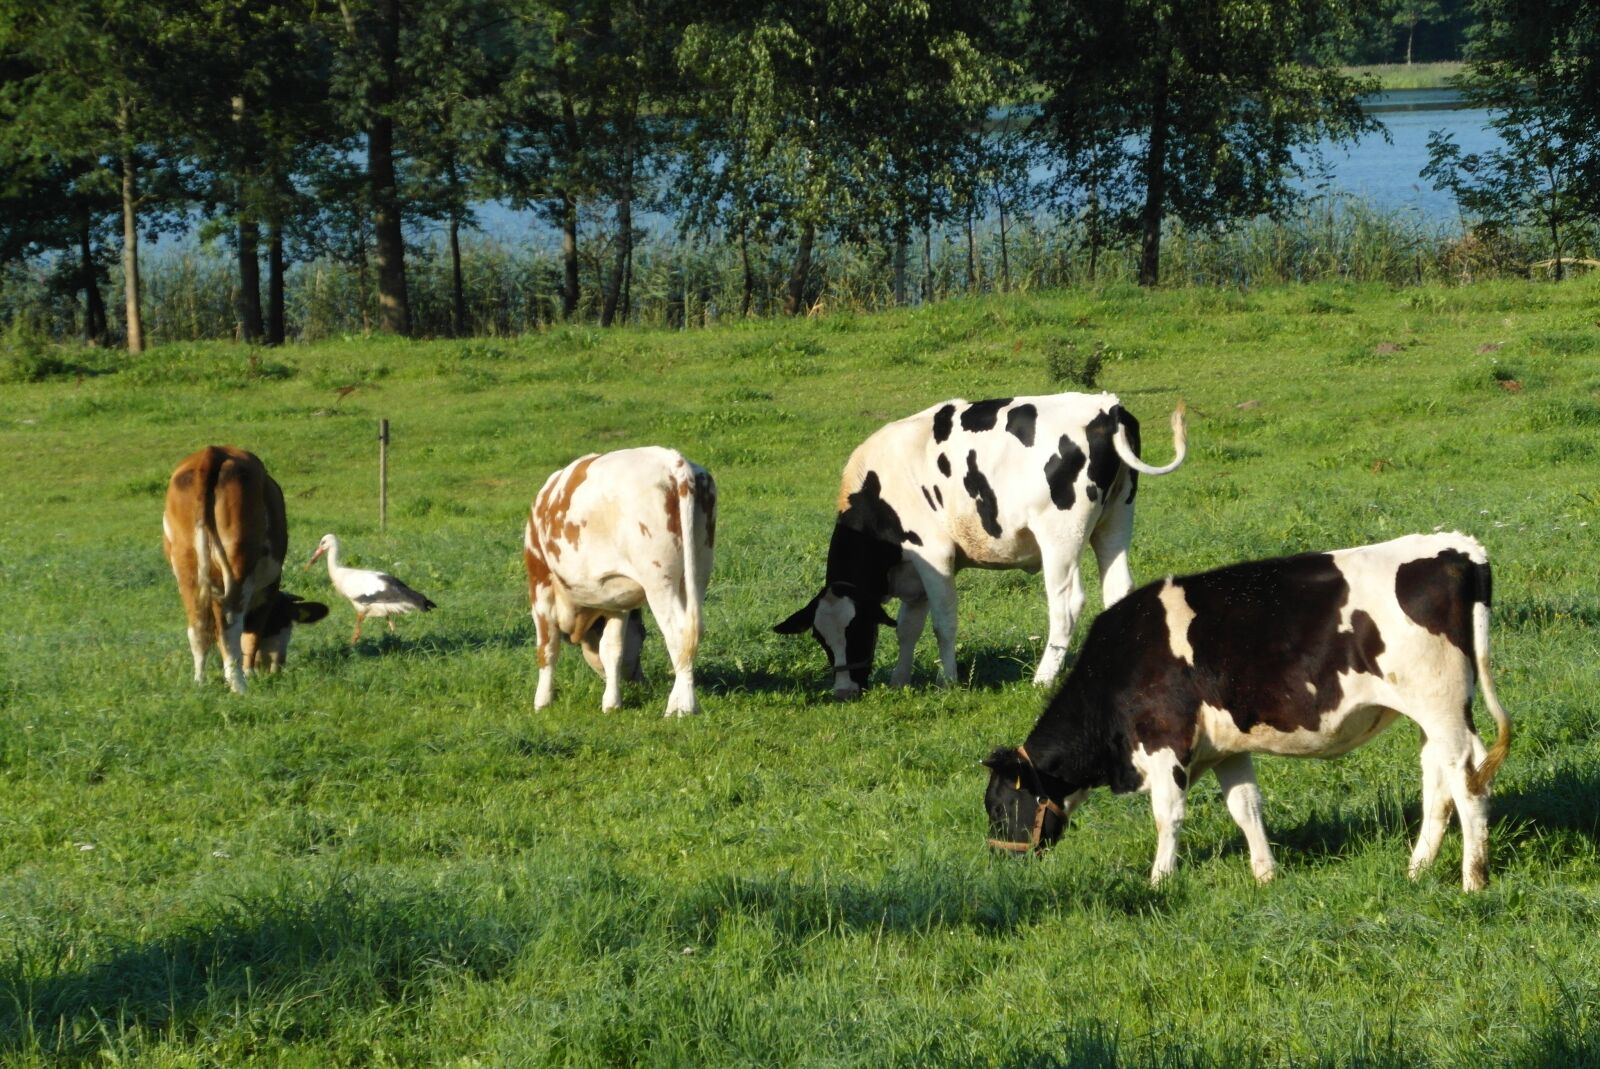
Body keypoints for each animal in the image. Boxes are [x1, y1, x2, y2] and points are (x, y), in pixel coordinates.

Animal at [161, 445, 327, 692]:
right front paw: (250, 672)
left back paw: (200, 681)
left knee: (198, 625)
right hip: (238, 560)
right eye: (283, 621)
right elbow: (253, 634)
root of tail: (212, 452)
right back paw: (239, 683)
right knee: (230, 622)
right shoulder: (268, 589)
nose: (276, 666)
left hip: (186, 562)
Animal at [524, 447, 715, 717]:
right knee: (693, 629)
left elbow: (547, 646)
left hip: (659, 580)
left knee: (679, 633)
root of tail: (673, 460)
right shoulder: (617, 599)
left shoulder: (540, 582)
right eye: (643, 634)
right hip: (698, 572)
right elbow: (612, 648)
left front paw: (542, 702)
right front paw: (612, 702)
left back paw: (681, 706)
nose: (639, 681)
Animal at [774, 392, 1186, 698]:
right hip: (1116, 519)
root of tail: (1106, 407)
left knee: (1066, 606)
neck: (879, 488)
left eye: (858, 629)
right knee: (1118, 590)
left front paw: (947, 682)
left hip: (1061, 535)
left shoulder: (934, 554)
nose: (844, 691)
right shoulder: (913, 574)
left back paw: (1042, 679)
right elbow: (908, 627)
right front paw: (899, 680)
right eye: (821, 639)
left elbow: (943, 623)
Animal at [981, 533, 1513, 891]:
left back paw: (1472, 879)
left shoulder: (1165, 741)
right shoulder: (1225, 748)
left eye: (998, 805)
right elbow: (1246, 808)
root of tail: (1457, 549)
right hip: (1437, 715)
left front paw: (1159, 881)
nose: (1000, 860)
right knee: (1440, 781)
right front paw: (1265, 874)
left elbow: (1167, 816)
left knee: (1467, 783)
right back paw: (1417, 868)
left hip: (1440, 705)